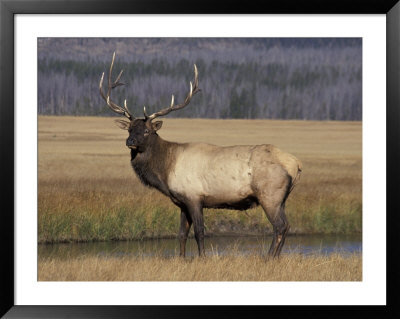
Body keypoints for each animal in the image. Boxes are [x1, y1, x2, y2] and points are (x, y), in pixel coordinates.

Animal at [98, 52, 302, 258]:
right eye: (130, 129)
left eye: (147, 131)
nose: (130, 141)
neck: (165, 171)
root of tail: (296, 164)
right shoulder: (182, 202)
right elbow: (181, 234)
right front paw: (181, 258)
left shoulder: (194, 197)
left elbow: (199, 232)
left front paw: (202, 257)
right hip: (282, 198)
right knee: (286, 225)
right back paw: (275, 257)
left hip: (269, 194)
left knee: (279, 226)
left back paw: (269, 258)